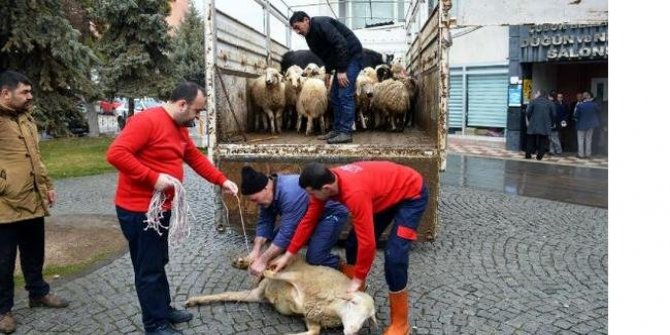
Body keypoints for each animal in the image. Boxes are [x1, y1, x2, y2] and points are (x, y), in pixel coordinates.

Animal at [185, 258, 378, 335]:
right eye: (354, 302)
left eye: (368, 317)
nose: (353, 331)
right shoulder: (297, 276)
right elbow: (276, 274)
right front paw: (267, 271)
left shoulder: (312, 317)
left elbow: (313, 331)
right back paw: (243, 262)